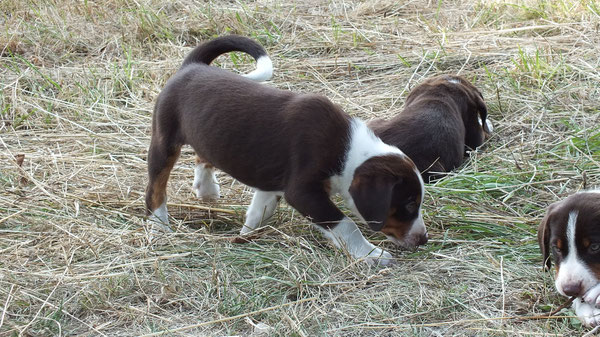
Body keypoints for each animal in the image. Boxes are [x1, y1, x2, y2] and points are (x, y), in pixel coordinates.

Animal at [145, 35, 426, 264]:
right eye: (409, 204)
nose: (423, 239)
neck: (347, 151)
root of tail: (193, 65)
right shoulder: (303, 193)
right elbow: (346, 225)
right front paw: (372, 254)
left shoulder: (273, 186)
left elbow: (258, 212)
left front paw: (244, 237)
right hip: (164, 141)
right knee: (156, 189)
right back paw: (159, 225)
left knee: (203, 155)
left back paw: (206, 189)